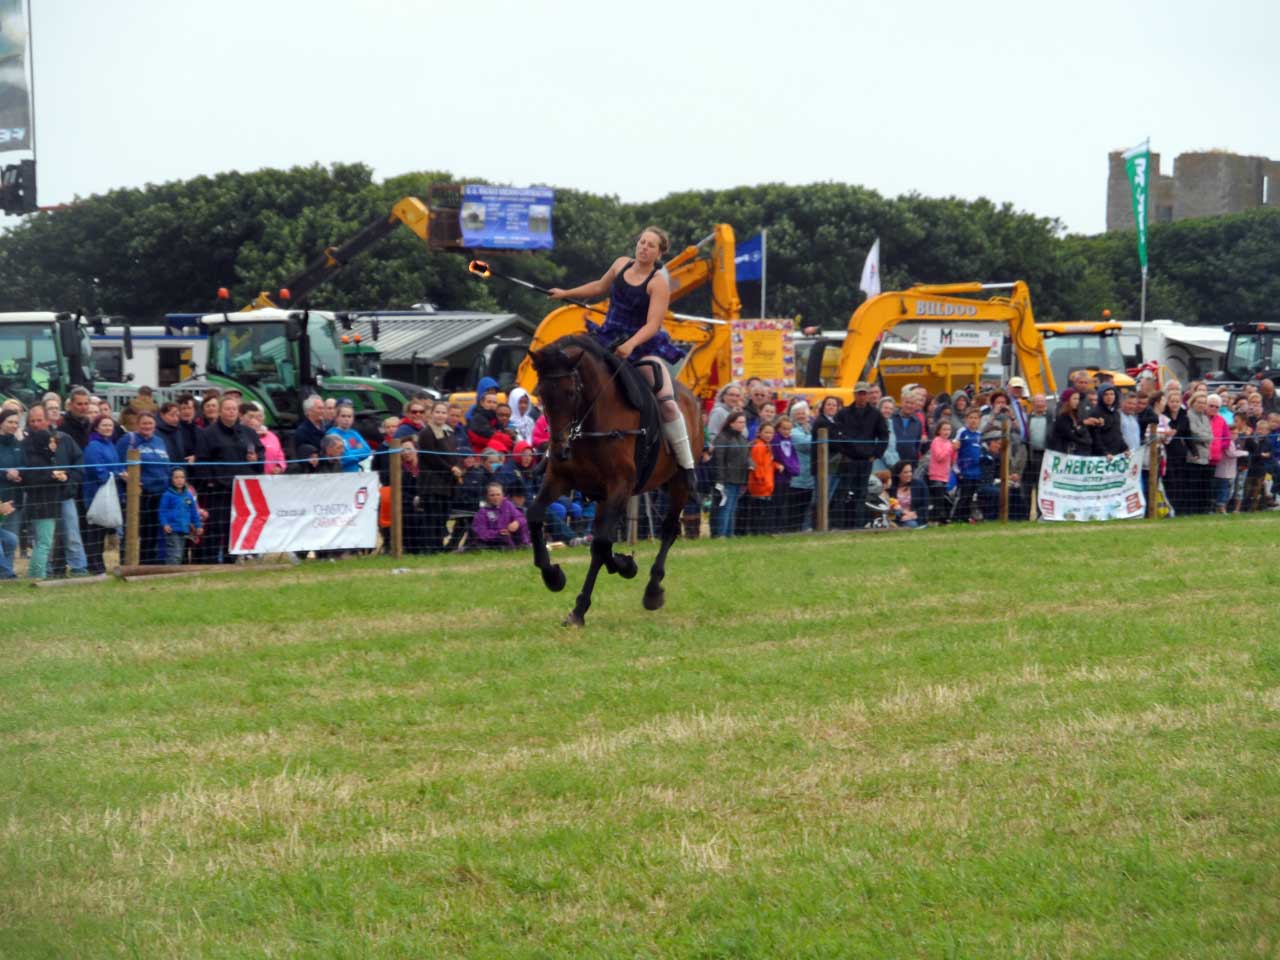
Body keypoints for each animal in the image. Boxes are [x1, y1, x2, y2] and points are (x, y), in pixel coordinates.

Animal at [527, 335, 706, 627]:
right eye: (541, 394)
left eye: (571, 393)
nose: (559, 450)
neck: (589, 425)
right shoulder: (561, 479)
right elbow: (534, 515)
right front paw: (553, 576)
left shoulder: (619, 486)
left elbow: (600, 544)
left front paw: (581, 607)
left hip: (678, 482)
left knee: (669, 529)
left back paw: (653, 590)